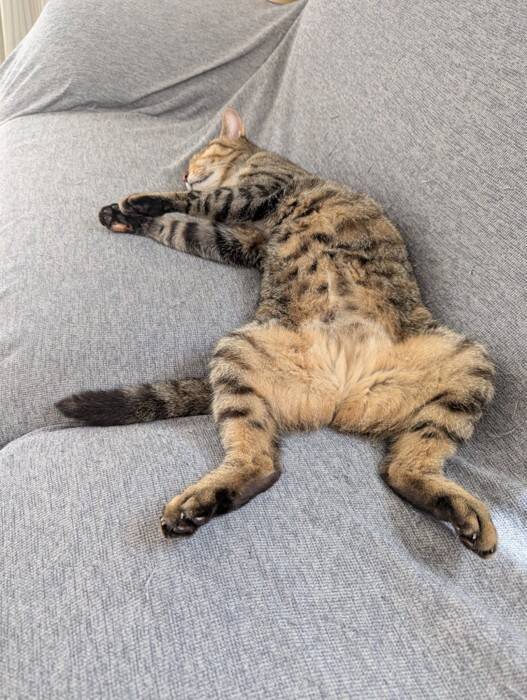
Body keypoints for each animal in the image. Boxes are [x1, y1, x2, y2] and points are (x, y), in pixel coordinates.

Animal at [56, 108, 497, 557]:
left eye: (199, 156)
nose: (184, 172)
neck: (249, 165)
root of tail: (341, 398)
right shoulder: (238, 239)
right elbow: (181, 228)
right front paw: (124, 217)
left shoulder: (260, 189)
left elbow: (197, 203)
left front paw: (139, 204)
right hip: (239, 357)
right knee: (274, 463)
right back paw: (196, 506)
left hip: (469, 364)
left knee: (388, 465)